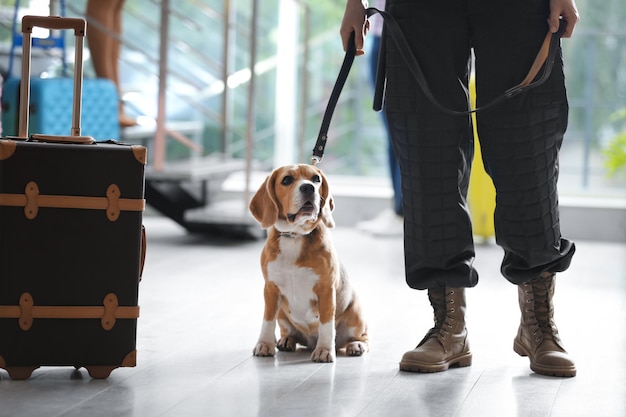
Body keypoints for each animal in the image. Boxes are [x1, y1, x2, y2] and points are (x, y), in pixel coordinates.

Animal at [247, 164, 366, 362]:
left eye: (316, 179)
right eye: (287, 180)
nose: (308, 188)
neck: (295, 236)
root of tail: (310, 341)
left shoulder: (326, 290)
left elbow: (326, 324)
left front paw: (324, 350)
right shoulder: (271, 289)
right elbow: (267, 321)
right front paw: (264, 344)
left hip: (356, 314)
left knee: (362, 337)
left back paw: (356, 345)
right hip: (282, 314)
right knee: (288, 332)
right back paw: (287, 340)